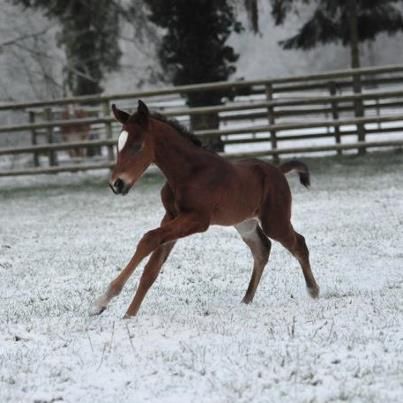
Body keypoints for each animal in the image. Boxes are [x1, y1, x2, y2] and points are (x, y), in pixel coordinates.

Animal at [93, 101, 320, 318]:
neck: (189, 173)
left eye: (138, 146)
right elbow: (152, 267)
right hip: (245, 224)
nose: (117, 184)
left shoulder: (198, 220)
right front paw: (126, 315)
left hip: (275, 221)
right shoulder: (171, 216)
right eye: (118, 146)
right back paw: (246, 300)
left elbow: (148, 239)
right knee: (262, 249)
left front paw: (104, 299)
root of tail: (278, 171)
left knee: (298, 243)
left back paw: (313, 291)